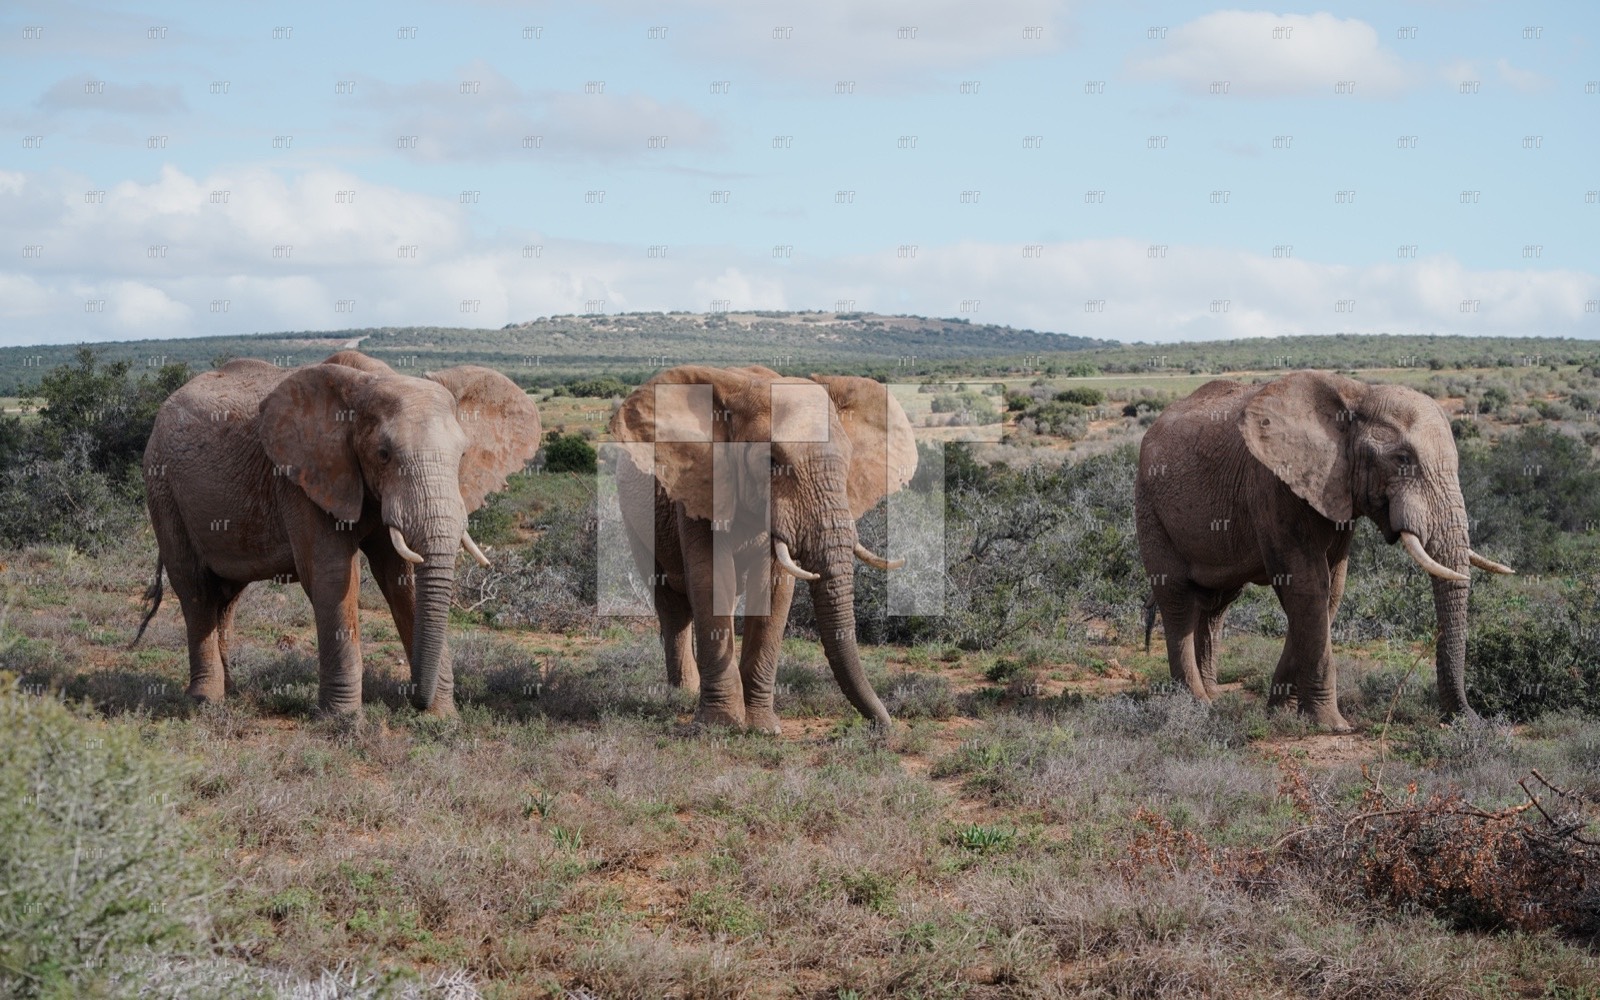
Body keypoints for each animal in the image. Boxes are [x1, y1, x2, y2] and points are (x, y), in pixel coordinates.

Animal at [136, 350, 541, 715]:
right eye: (383, 454)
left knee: (228, 595)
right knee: (195, 587)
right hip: (162, 486)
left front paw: (443, 718)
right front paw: (344, 722)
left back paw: (230, 694)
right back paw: (204, 702)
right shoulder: (301, 478)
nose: (415, 702)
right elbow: (333, 575)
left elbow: (402, 578)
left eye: (462, 456)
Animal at [609, 365, 918, 732]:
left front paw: (762, 728)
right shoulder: (700, 485)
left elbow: (774, 588)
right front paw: (720, 726)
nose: (884, 725)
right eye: (772, 461)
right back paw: (682, 694)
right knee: (670, 602)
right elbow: (712, 580)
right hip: (635, 518)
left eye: (848, 459)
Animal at [1134, 370, 1512, 731]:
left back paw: (1213, 695)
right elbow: (1307, 585)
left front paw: (1281, 712)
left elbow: (1329, 590)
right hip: (1150, 505)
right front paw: (1331, 726)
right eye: (1403, 459)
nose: (1471, 720)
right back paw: (1197, 704)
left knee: (1216, 604)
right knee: (1177, 599)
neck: (1358, 395)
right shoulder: (1274, 484)